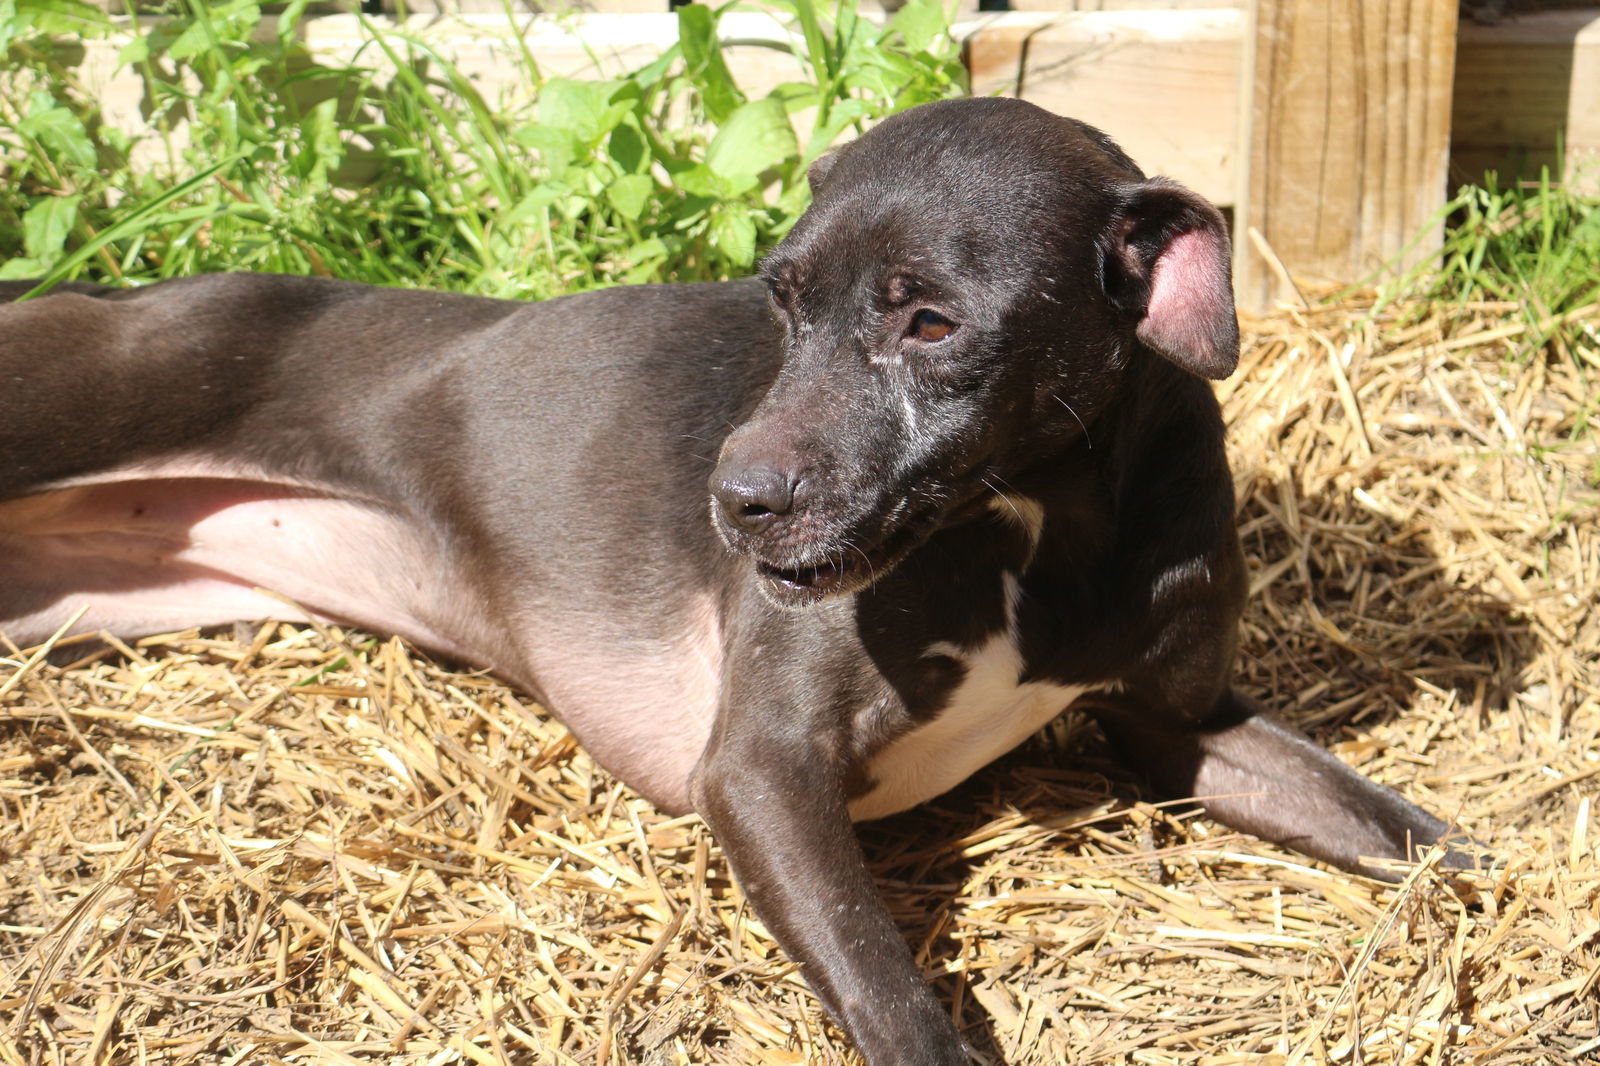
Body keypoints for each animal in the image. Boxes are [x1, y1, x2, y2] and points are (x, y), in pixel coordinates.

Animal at [0, 99, 1465, 1062]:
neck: (1038, 534)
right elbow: (888, 991)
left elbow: (1418, 842)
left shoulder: (1179, 727)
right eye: (782, 296)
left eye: (929, 319)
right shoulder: (759, 771)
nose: (732, 498)